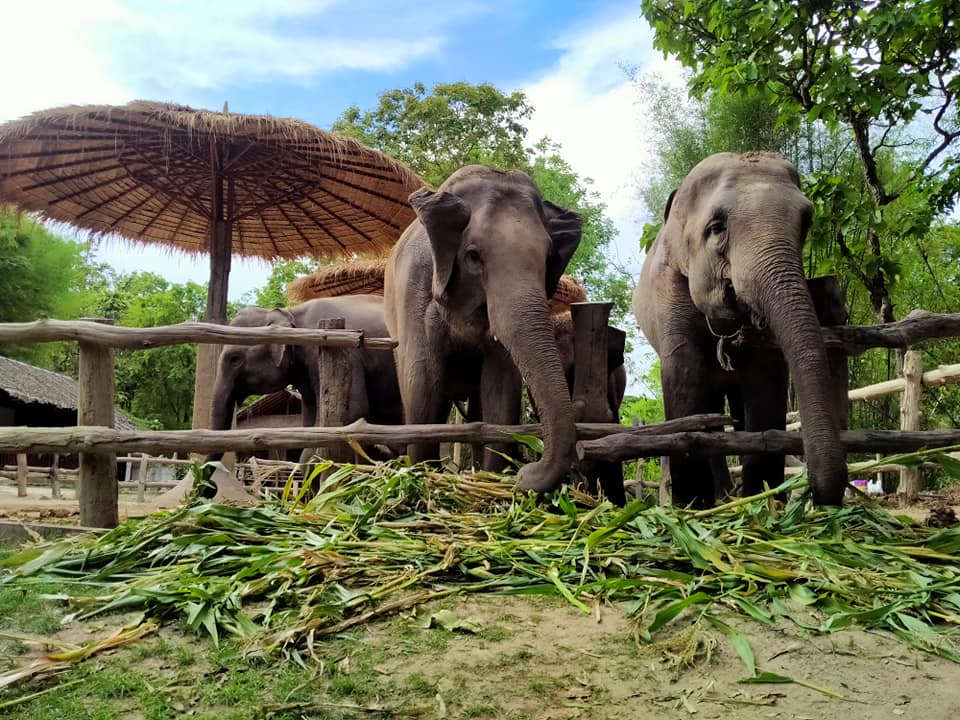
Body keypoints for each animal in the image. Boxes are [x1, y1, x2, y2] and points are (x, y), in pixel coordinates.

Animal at [383, 164, 582, 493]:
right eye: (473, 256)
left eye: (549, 258)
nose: (525, 471)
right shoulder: (413, 290)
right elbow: (423, 388)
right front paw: (423, 479)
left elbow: (500, 394)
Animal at [632, 152, 847, 508]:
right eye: (716, 227)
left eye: (805, 223)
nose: (819, 495)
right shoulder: (668, 292)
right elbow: (684, 368)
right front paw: (691, 505)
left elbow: (766, 374)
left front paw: (764, 501)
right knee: (711, 414)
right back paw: (718, 497)